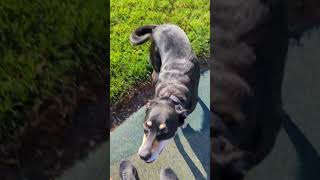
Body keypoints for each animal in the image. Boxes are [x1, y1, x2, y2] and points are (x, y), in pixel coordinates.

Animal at [130, 23, 200, 163]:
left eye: (164, 132)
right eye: (145, 126)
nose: (143, 156)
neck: (171, 93)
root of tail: (160, 26)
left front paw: (184, 122)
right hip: (154, 56)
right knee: (154, 67)